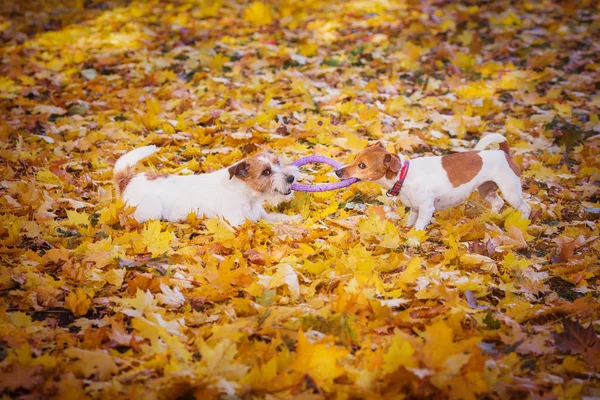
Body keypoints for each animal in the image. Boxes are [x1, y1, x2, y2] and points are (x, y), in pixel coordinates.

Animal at [113, 146, 298, 228]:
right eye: (266, 172)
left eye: (277, 162)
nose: (291, 178)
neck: (246, 193)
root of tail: (126, 180)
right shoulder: (236, 223)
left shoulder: (260, 215)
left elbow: (276, 217)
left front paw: (294, 219)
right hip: (150, 212)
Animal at [336, 134, 532, 230]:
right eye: (355, 158)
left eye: (362, 165)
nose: (337, 171)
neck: (404, 175)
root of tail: (503, 152)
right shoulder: (415, 209)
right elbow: (410, 222)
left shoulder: (426, 209)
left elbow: (418, 227)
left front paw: (413, 240)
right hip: (486, 190)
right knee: (497, 202)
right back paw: (488, 218)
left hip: (511, 192)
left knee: (525, 208)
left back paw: (522, 223)